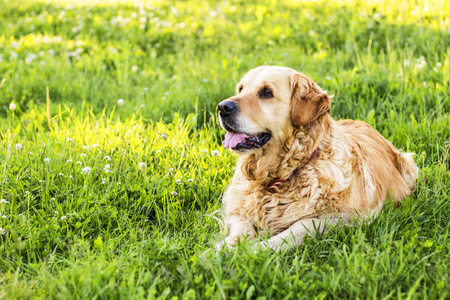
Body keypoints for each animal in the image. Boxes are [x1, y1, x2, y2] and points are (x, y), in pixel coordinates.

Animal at [216, 65, 416, 251]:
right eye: (241, 89)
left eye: (266, 92)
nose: (222, 107)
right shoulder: (238, 210)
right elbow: (242, 230)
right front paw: (220, 250)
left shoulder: (347, 216)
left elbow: (294, 230)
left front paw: (253, 250)